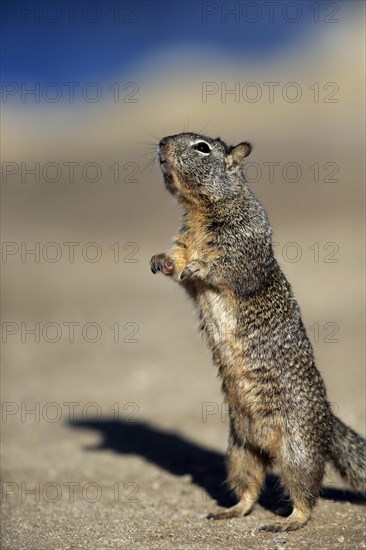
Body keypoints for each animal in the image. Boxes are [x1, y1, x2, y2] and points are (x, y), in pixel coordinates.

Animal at [149, 132, 366, 532]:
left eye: (202, 147)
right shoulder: (185, 241)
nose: (161, 143)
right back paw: (229, 510)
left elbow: (229, 267)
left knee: (306, 493)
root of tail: (327, 420)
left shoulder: (245, 242)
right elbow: (178, 264)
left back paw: (288, 522)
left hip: (298, 449)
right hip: (239, 451)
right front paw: (161, 261)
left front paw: (200, 267)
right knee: (250, 489)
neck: (204, 210)